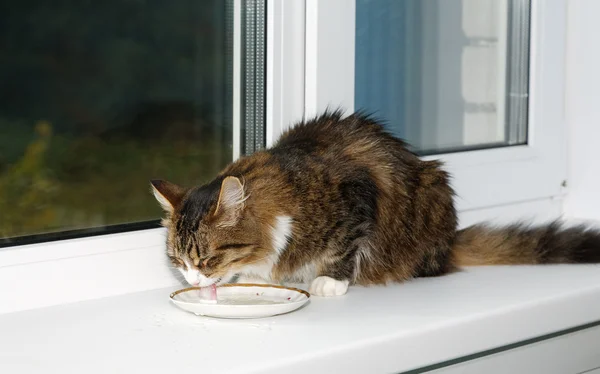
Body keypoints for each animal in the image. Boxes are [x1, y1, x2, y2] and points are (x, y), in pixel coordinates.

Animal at [149, 109, 600, 296]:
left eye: (207, 260)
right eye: (178, 262)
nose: (192, 282)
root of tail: (449, 242)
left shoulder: (358, 198)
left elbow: (344, 248)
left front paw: (329, 281)